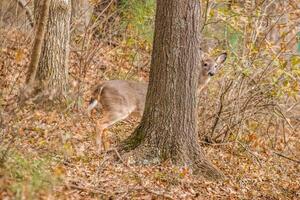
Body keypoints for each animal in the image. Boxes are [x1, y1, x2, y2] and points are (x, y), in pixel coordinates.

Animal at [88, 52, 226, 152]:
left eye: (216, 66)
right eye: (205, 63)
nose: (212, 73)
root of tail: (102, 85)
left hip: (110, 107)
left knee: (104, 127)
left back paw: (106, 149)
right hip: (119, 108)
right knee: (100, 124)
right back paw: (98, 149)